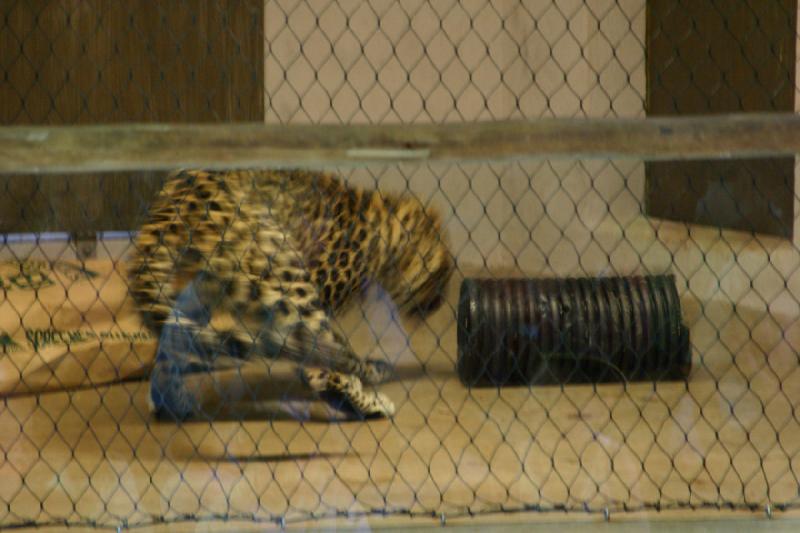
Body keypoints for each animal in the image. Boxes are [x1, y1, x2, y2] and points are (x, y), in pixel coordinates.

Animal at [125, 168, 450, 418]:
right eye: (441, 279)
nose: (438, 305)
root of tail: (163, 214)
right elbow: (324, 367)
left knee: (170, 349)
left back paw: (171, 403)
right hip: (283, 276)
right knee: (322, 362)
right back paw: (370, 402)